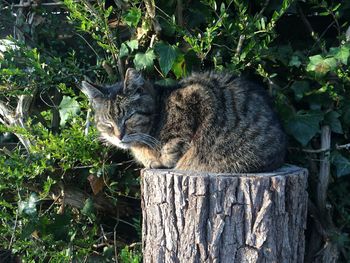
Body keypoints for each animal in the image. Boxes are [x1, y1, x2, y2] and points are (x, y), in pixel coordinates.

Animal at [81, 69, 288, 174]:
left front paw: (165, 158)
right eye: (108, 123)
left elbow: (177, 142)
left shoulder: (197, 95)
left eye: (129, 117)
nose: (119, 136)